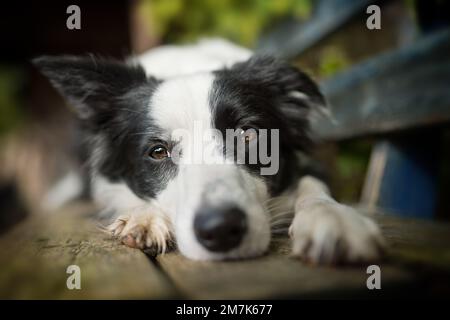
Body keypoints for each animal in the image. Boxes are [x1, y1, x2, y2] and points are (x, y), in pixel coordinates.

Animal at [34, 39, 384, 262]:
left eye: (248, 135)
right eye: (158, 152)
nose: (221, 230)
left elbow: (313, 186)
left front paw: (333, 219)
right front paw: (144, 216)